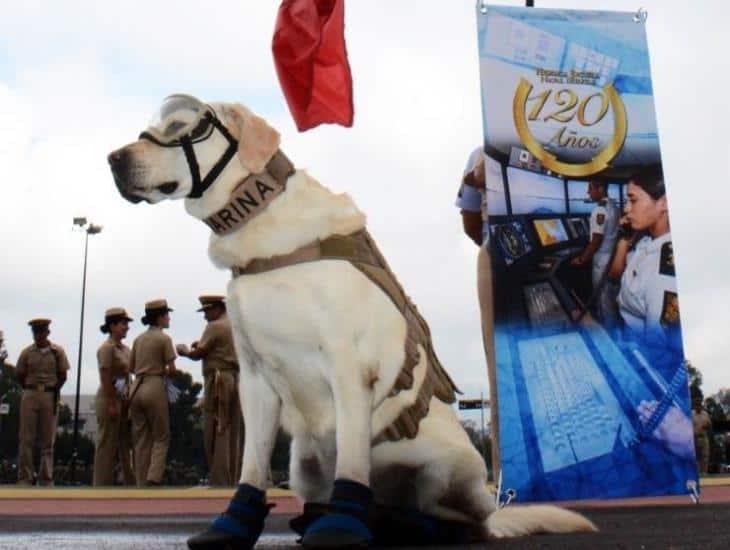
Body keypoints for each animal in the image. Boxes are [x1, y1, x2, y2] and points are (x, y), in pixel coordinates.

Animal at [109, 96, 596, 550]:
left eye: (180, 124)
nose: (113, 159)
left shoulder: (347, 366)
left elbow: (351, 462)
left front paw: (341, 527)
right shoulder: (254, 378)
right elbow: (252, 465)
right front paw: (231, 526)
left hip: (448, 470)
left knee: (454, 521)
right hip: (303, 464)